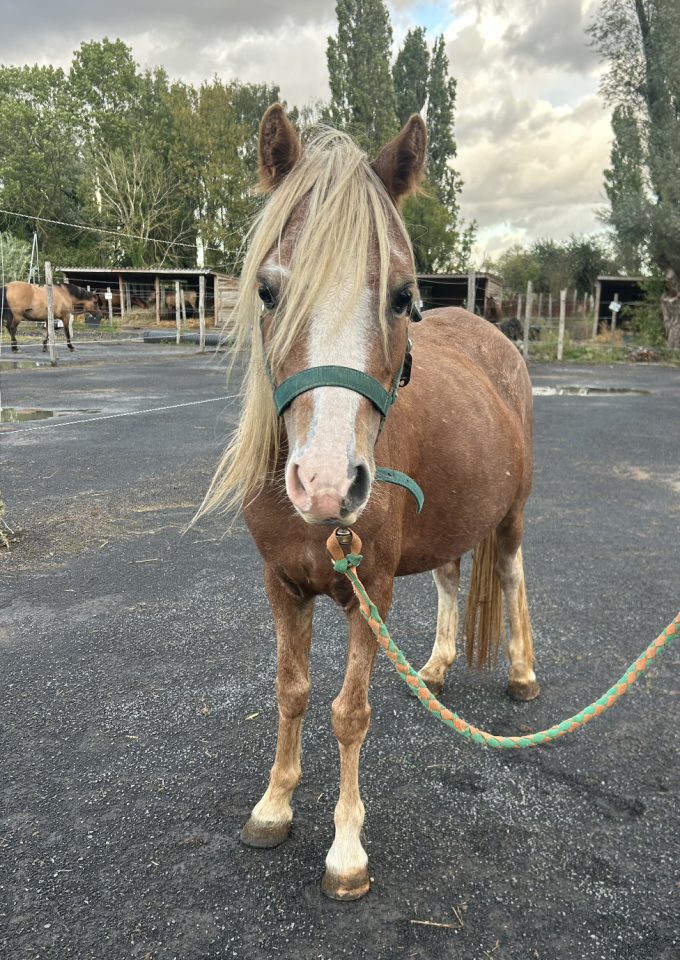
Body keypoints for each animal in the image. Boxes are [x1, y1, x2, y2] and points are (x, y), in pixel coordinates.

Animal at [198, 105, 539, 901]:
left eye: (401, 297)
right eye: (268, 291)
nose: (327, 484)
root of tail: (494, 337)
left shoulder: (369, 590)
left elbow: (348, 713)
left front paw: (346, 851)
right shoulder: (283, 585)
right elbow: (291, 692)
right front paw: (273, 806)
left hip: (509, 518)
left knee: (510, 577)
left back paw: (522, 675)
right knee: (450, 577)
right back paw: (436, 669)